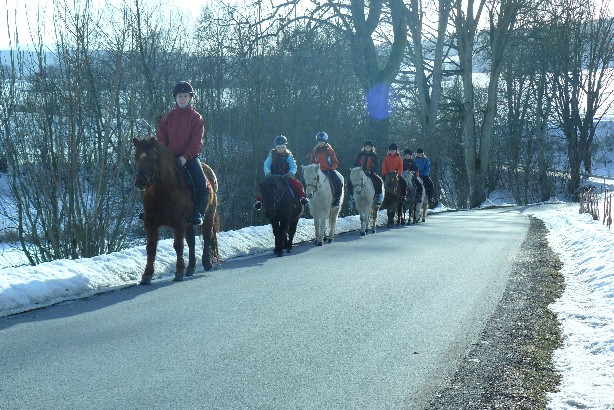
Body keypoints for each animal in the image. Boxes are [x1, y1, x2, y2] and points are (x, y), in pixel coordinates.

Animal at [132, 138, 219, 286]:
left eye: (153, 158)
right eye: (136, 157)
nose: (140, 182)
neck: (164, 190)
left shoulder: (179, 223)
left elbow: (178, 245)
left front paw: (179, 272)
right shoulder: (151, 223)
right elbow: (151, 248)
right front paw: (147, 275)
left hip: (208, 214)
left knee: (207, 236)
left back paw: (206, 263)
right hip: (189, 222)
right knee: (191, 241)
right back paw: (190, 268)